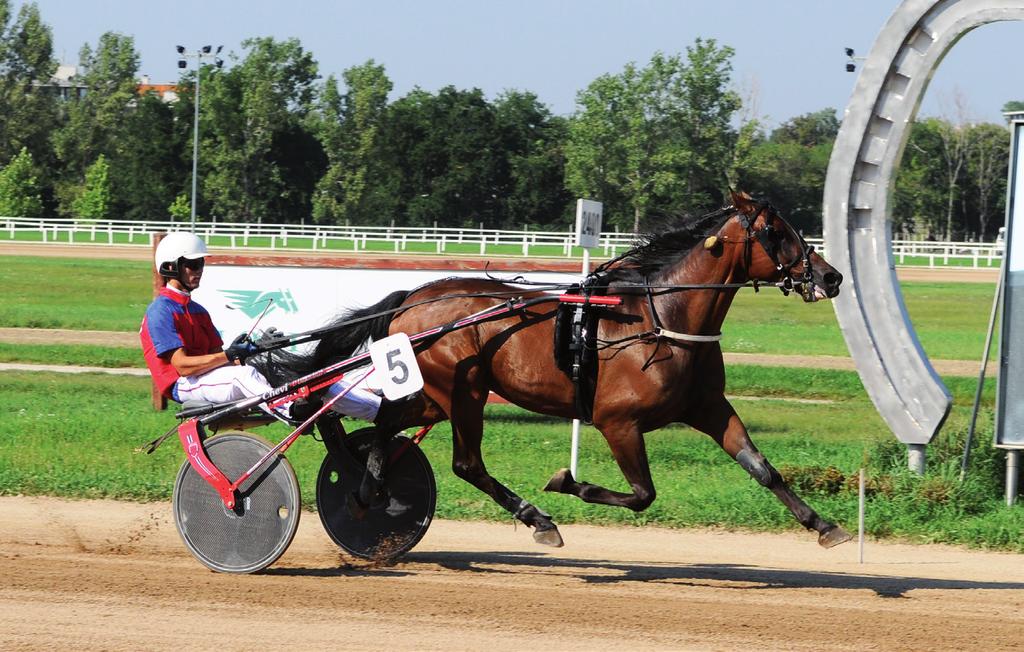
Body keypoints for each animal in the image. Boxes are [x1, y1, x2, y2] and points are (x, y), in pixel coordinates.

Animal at [260, 192, 851, 548]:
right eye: (776, 231)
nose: (831, 276)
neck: (663, 319)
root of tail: (413, 297)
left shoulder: (708, 407)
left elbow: (763, 468)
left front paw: (825, 525)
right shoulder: (618, 422)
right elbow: (642, 495)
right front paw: (567, 481)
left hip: (435, 392)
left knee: (387, 424)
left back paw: (370, 491)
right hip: (464, 390)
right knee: (465, 463)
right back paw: (538, 520)